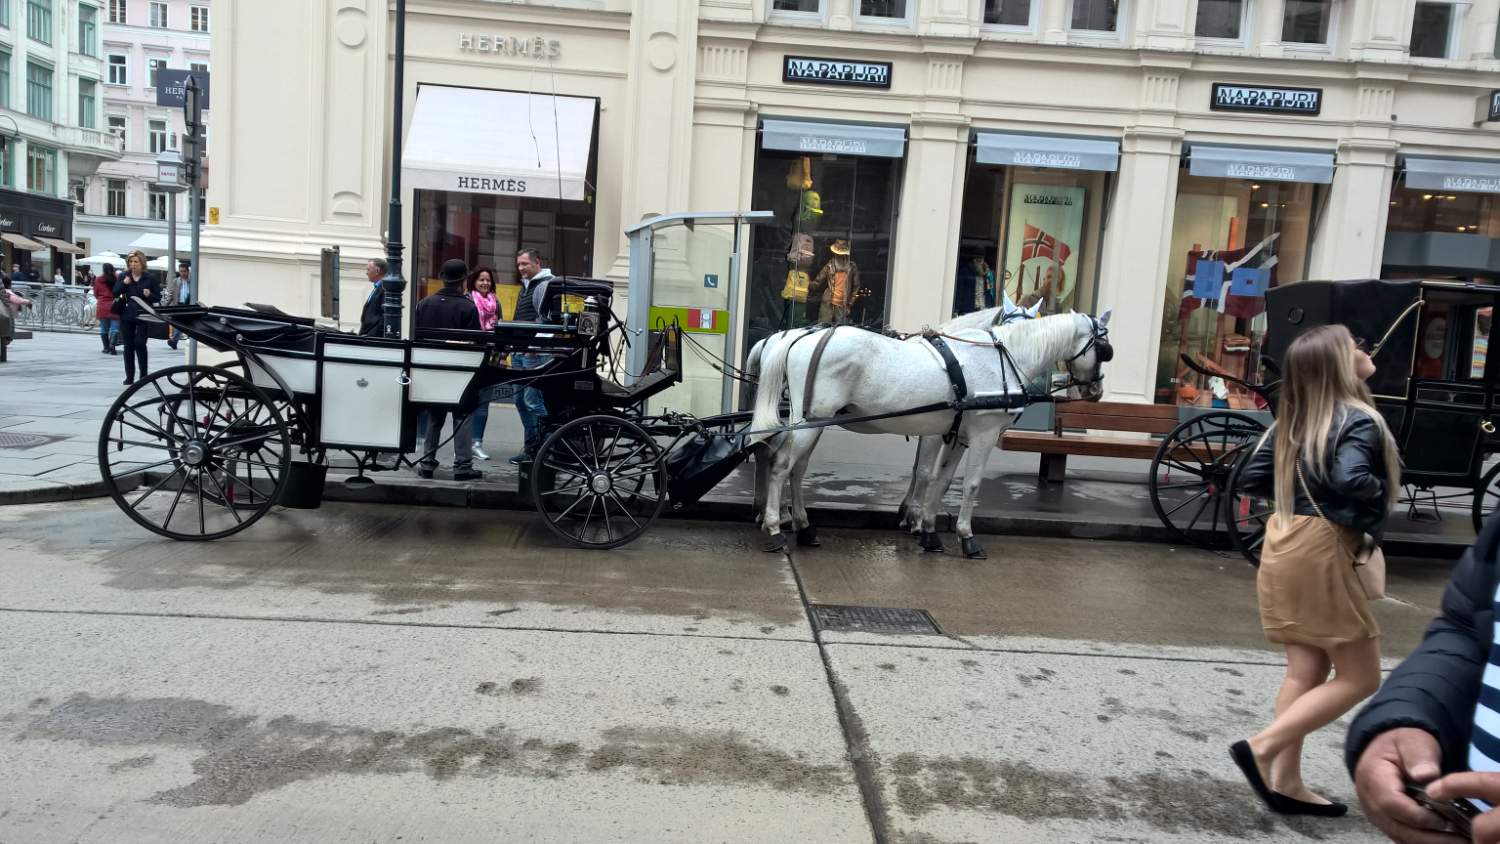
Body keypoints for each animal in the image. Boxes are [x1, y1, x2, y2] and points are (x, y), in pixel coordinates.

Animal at [749, 310, 1112, 558]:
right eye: (1104, 347)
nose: (1096, 390)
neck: (1000, 359)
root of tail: (800, 337)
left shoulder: (956, 435)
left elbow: (941, 480)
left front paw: (927, 530)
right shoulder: (983, 434)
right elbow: (968, 483)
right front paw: (965, 536)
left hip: (813, 422)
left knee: (795, 468)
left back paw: (803, 527)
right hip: (810, 421)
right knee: (781, 465)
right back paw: (774, 529)